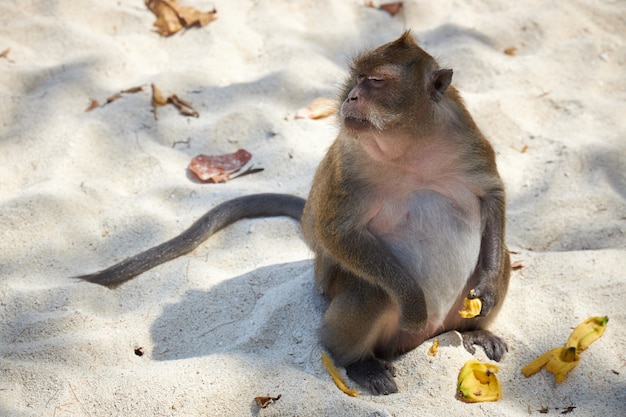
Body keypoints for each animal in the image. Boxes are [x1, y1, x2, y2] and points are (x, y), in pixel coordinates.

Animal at [77, 31, 508, 394]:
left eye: (376, 81)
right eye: (355, 79)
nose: (351, 98)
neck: (409, 142)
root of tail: (426, 338)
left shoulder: (466, 135)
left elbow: (491, 196)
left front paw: (486, 285)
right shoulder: (349, 161)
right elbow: (336, 232)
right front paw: (414, 303)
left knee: (502, 257)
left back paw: (474, 331)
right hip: (344, 300)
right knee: (371, 291)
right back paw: (359, 361)